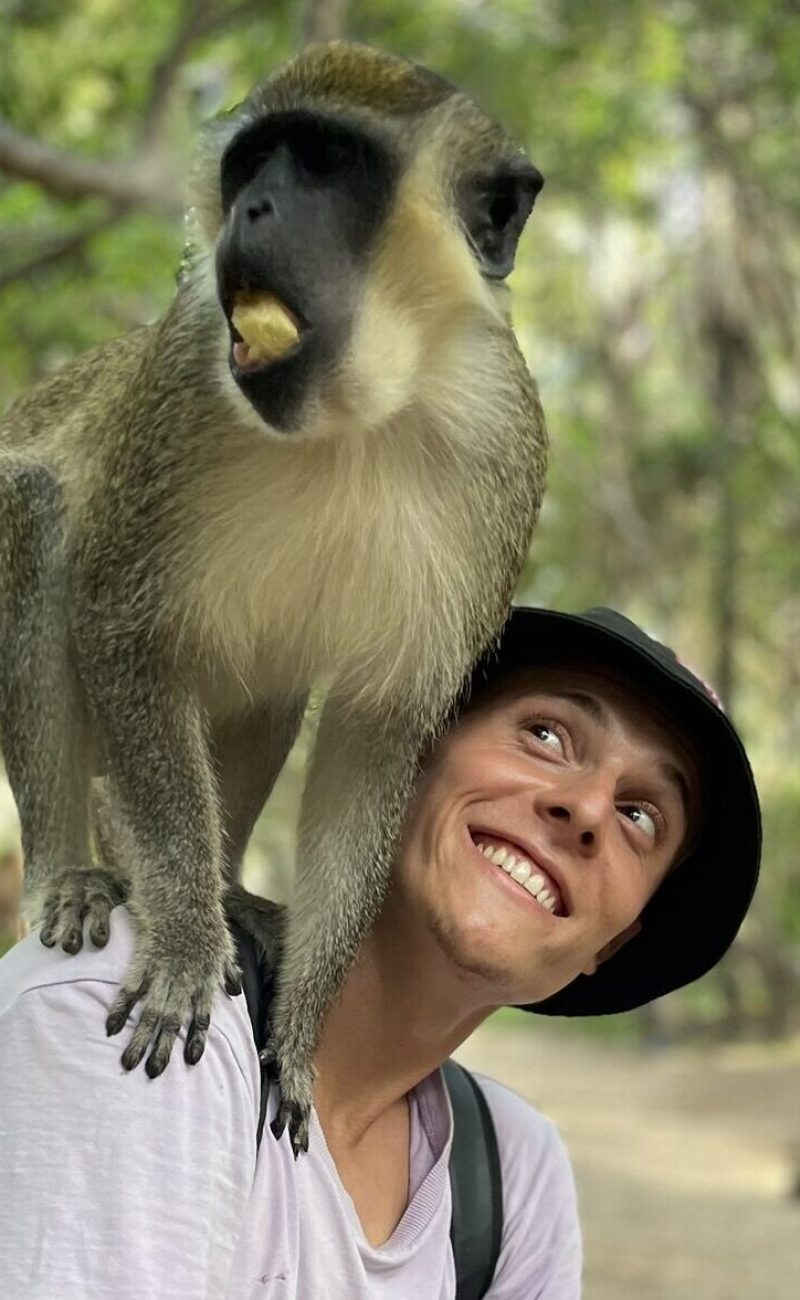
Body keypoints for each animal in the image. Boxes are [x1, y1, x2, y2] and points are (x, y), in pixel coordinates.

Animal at [0, 42, 547, 1152]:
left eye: (328, 162)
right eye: (254, 162)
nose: (250, 209)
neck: (356, 414)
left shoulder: (504, 450)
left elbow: (373, 742)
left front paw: (301, 1024)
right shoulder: (180, 377)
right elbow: (116, 619)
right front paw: (179, 931)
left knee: (269, 674)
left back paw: (219, 887)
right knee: (35, 509)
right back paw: (79, 867)